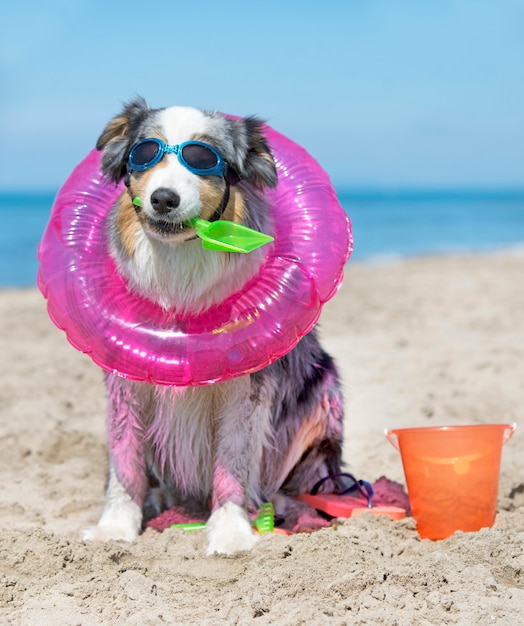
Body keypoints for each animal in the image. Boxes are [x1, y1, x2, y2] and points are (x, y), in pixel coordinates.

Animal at [84, 98, 346, 556]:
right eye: (144, 153)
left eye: (203, 159)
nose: (163, 198)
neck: (178, 273)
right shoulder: (125, 377)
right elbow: (124, 459)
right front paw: (114, 528)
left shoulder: (245, 387)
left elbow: (234, 461)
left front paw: (230, 531)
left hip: (324, 390)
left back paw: (278, 506)